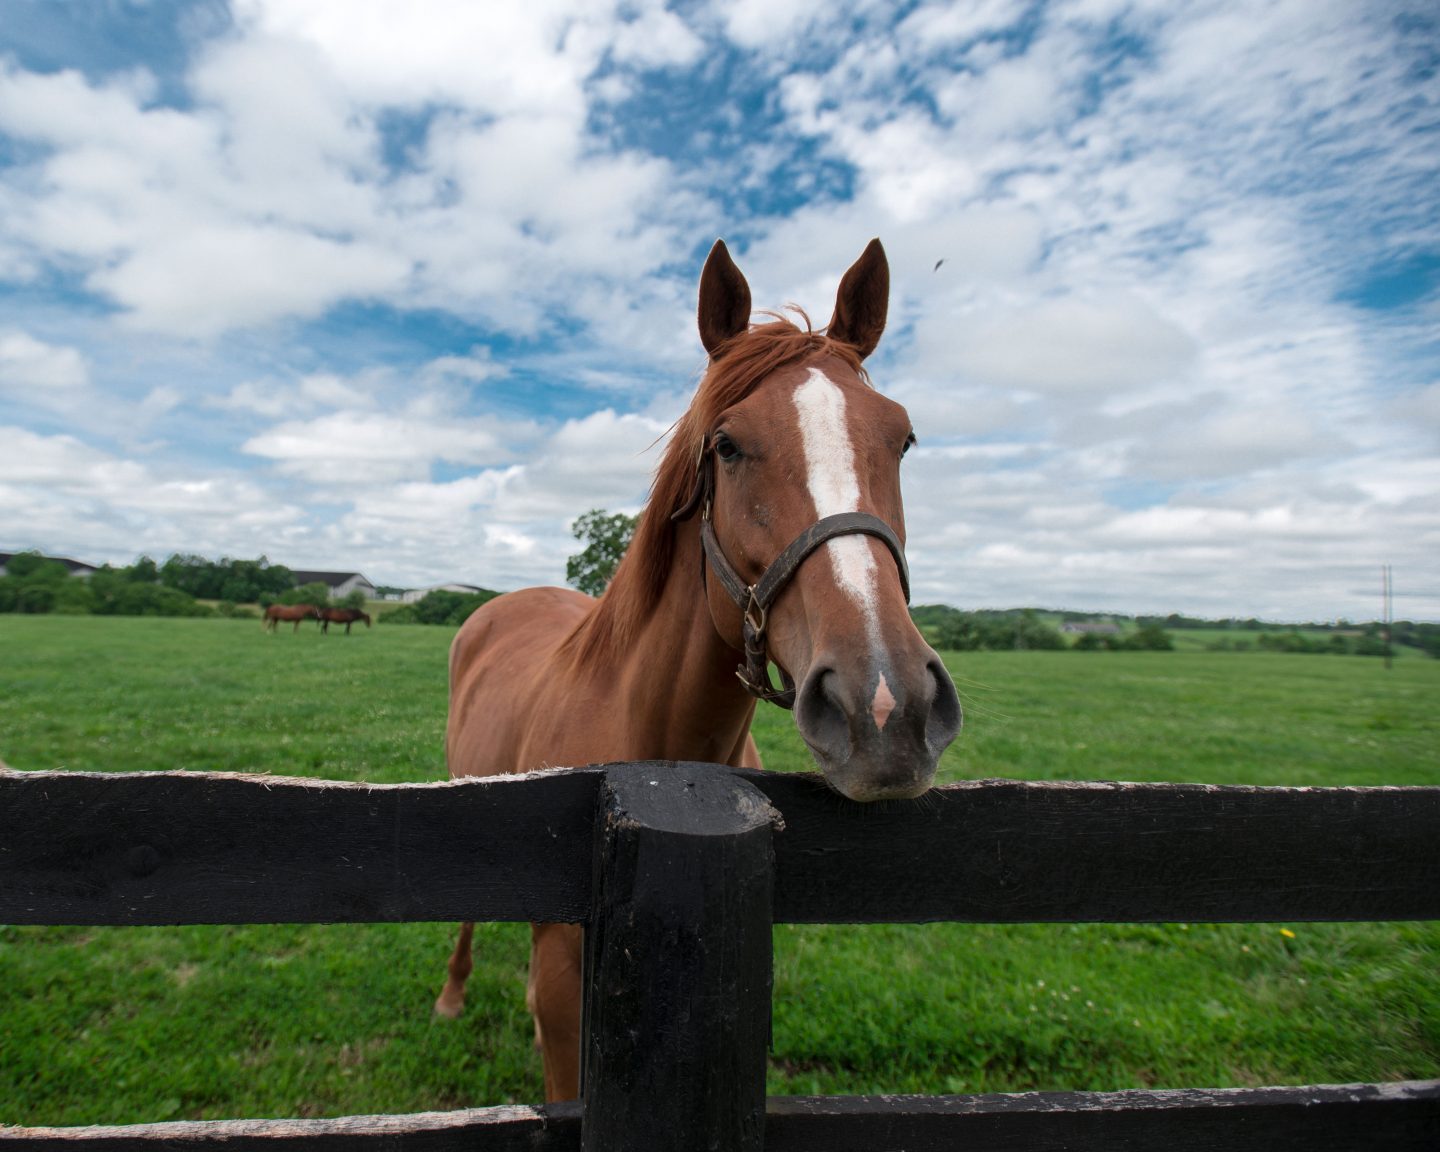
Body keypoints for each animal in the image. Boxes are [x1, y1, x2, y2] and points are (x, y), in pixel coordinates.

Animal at [432, 239, 961, 1100]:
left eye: (903, 439)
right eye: (727, 444)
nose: (887, 707)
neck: (661, 771)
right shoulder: (561, 983)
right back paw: (450, 994)